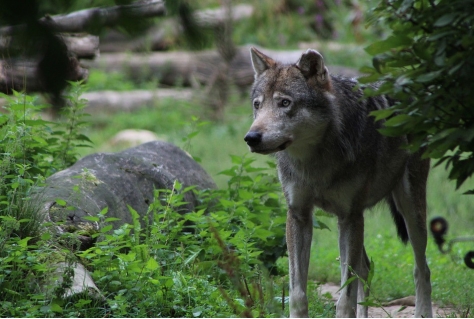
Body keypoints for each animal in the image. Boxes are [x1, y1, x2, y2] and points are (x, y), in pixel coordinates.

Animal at [244, 47, 434, 318]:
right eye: (257, 105)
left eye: (285, 103)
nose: (251, 137)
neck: (316, 162)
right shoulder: (299, 215)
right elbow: (297, 293)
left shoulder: (349, 216)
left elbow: (345, 297)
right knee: (366, 267)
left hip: (410, 212)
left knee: (422, 269)